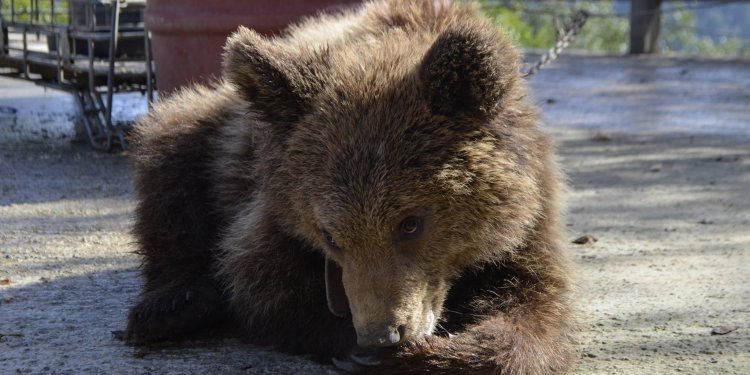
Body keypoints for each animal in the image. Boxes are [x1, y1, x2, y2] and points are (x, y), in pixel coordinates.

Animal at [126, 1, 580, 374]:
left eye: (411, 223)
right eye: (330, 235)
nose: (383, 334)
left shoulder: (527, 220)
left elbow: (531, 304)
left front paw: (427, 354)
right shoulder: (272, 209)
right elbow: (262, 284)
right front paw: (354, 345)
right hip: (215, 133)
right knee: (171, 164)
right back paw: (170, 307)